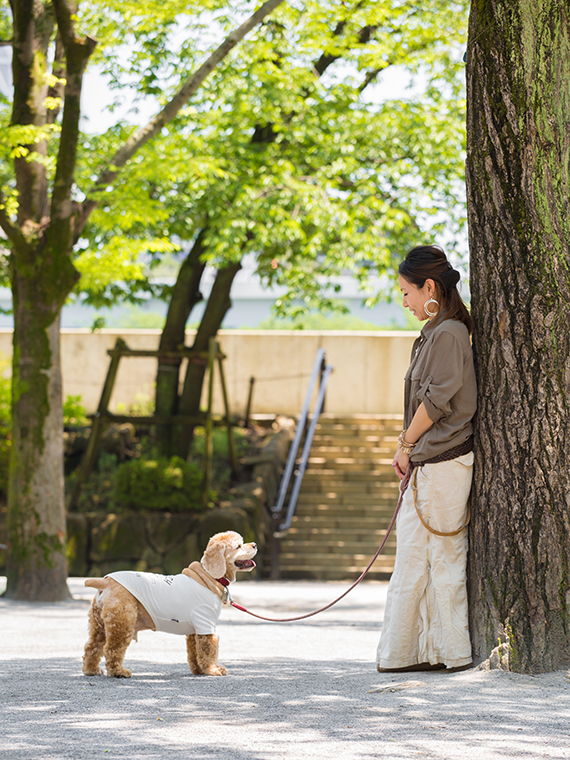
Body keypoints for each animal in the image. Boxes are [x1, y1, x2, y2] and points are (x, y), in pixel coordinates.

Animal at [81, 532, 256, 680]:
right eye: (239, 546)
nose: (254, 544)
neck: (209, 577)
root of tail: (106, 582)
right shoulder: (205, 624)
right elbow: (208, 650)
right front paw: (212, 670)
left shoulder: (194, 629)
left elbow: (194, 651)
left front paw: (198, 670)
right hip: (122, 623)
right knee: (112, 649)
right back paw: (119, 672)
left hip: (100, 624)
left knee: (92, 646)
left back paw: (92, 670)